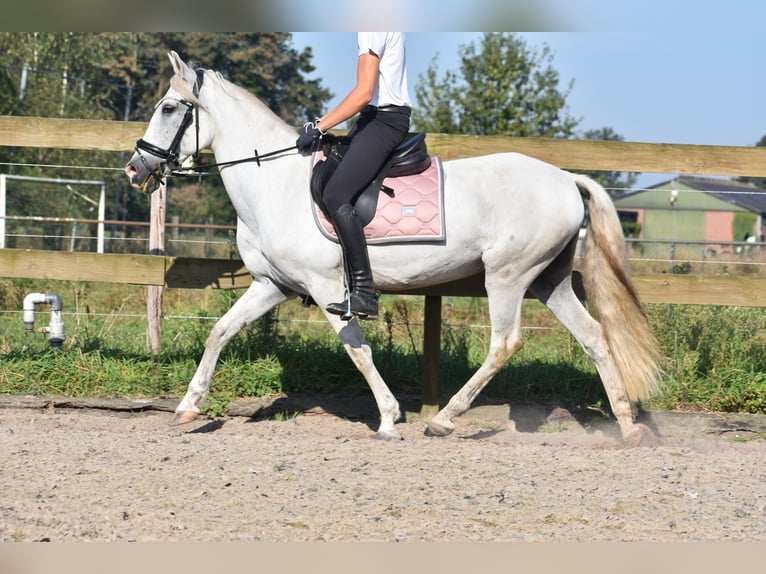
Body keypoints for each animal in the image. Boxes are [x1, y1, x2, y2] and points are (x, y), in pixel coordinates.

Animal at [126, 51, 664, 448]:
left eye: (169, 108)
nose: (135, 168)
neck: (274, 182)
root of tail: (566, 179)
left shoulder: (326, 287)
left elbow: (358, 351)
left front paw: (388, 419)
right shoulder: (272, 284)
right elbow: (220, 331)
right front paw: (188, 406)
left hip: (508, 275)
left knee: (504, 343)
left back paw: (444, 420)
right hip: (548, 279)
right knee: (593, 335)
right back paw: (627, 425)